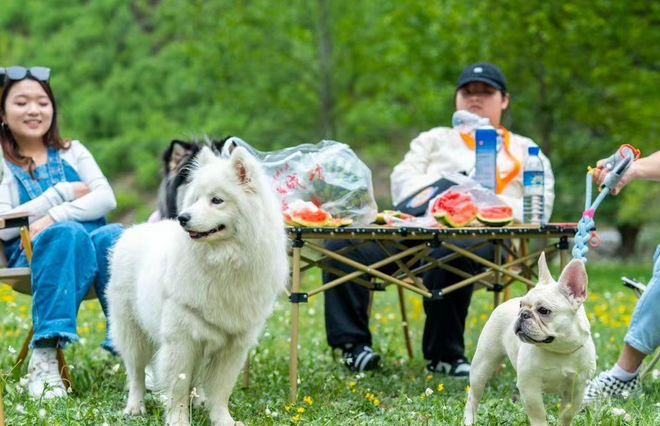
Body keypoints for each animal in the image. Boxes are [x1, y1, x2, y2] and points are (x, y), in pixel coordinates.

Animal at [107, 146, 288, 426]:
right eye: (195, 199)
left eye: (217, 200)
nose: (183, 218)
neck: (223, 262)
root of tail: (133, 231)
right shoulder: (181, 340)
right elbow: (178, 388)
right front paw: (178, 420)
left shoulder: (233, 344)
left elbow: (220, 391)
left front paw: (223, 420)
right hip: (132, 332)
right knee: (136, 373)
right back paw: (135, 408)